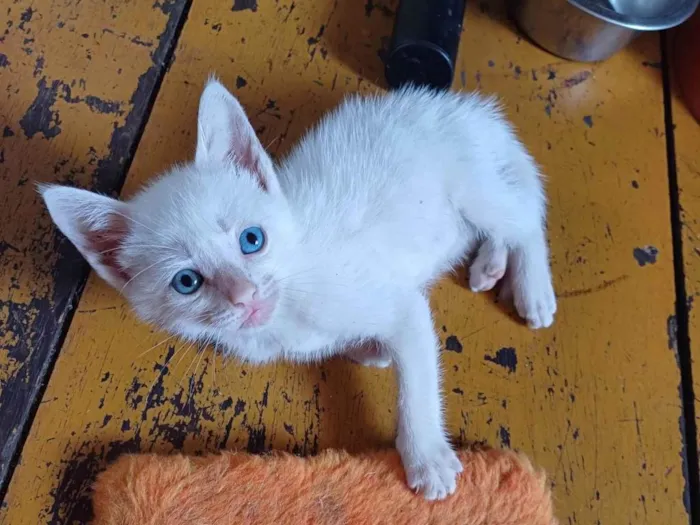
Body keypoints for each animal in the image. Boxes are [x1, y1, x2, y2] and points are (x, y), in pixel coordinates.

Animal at [43, 78, 556, 500]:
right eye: (186, 282)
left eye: (252, 239)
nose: (244, 295)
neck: (287, 310)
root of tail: (463, 107)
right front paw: (370, 350)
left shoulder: (398, 304)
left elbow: (416, 381)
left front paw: (426, 456)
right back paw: (489, 265)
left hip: (472, 183)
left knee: (525, 215)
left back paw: (532, 288)